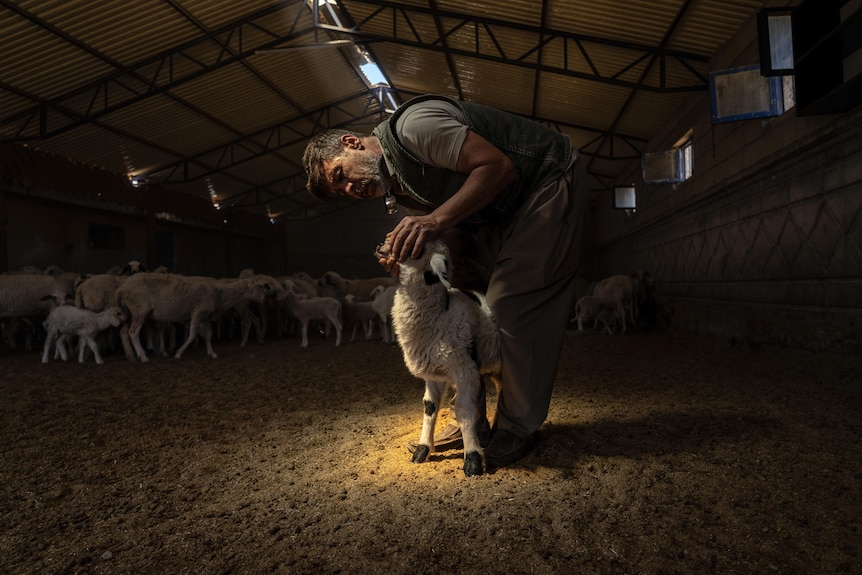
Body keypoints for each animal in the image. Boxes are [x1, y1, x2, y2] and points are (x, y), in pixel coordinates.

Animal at [380, 238, 506, 476]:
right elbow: (429, 407)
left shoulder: (465, 370)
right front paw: (422, 451)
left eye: (416, 248)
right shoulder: (434, 375)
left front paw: (473, 460)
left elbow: (464, 411)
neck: (440, 314)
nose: (381, 246)